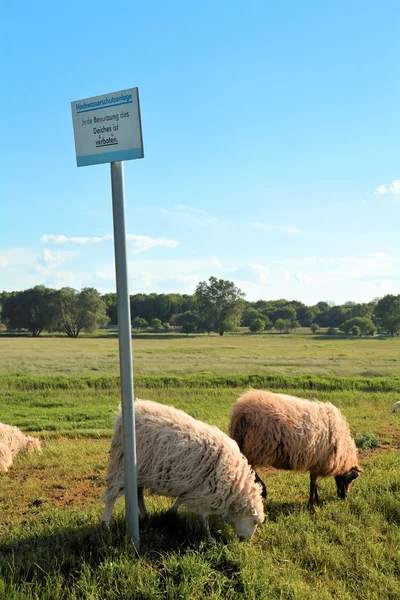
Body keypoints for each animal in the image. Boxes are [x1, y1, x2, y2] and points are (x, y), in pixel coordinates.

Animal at [101, 398, 264, 544]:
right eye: (255, 521)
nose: (245, 540)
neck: (235, 482)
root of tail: (122, 416)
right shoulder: (203, 492)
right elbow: (202, 517)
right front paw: (209, 538)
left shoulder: (194, 489)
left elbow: (181, 499)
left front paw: (171, 512)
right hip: (122, 464)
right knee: (112, 496)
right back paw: (105, 524)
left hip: (140, 471)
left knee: (138, 494)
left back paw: (145, 516)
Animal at [228, 392, 362, 512]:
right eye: (351, 478)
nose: (344, 497)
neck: (342, 451)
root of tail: (239, 412)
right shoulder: (318, 461)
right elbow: (313, 484)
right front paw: (312, 508)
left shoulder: (315, 462)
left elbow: (314, 484)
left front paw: (316, 502)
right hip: (255, 447)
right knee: (249, 467)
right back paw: (263, 490)